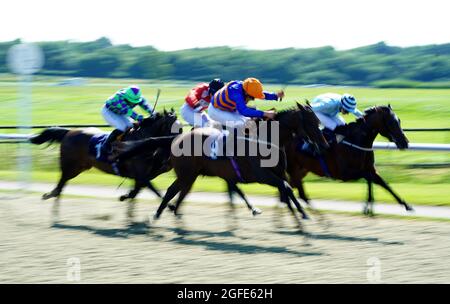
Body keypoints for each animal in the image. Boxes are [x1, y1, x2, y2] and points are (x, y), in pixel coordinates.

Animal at [28, 110, 181, 204]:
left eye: (181, 129)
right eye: (175, 128)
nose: (177, 145)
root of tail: (69, 131)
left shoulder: (144, 175)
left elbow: (142, 189)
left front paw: (126, 196)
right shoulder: (141, 176)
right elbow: (155, 191)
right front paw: (170, 207)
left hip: (80, 167)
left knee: (63, 182)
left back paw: (51, 195)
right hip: (70, 165)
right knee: (62, 180)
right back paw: (51, 195)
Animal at [118, 103, 330, 227]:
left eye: (318, 120)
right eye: (312, 122)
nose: (324, 145)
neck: (268, 140)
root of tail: (177, 137)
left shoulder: (277, 174)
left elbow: (287, 191)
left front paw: (302, 216)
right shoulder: (262, 176)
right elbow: (285, 188)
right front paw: (303, 216)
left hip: (190, 174)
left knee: (178, 191)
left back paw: (171, 214)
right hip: (186, 173)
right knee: (170, 190)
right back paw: (155, 214)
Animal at [286, 105, 414, 215]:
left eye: (399, 120)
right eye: (392, 122)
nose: (405, 142)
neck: (356, 140)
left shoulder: (370, 169)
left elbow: (384, 184)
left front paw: (406, 205)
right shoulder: (345, 173)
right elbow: (369, 177)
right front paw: (367, 206)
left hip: (301, 170)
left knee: (290, 186)